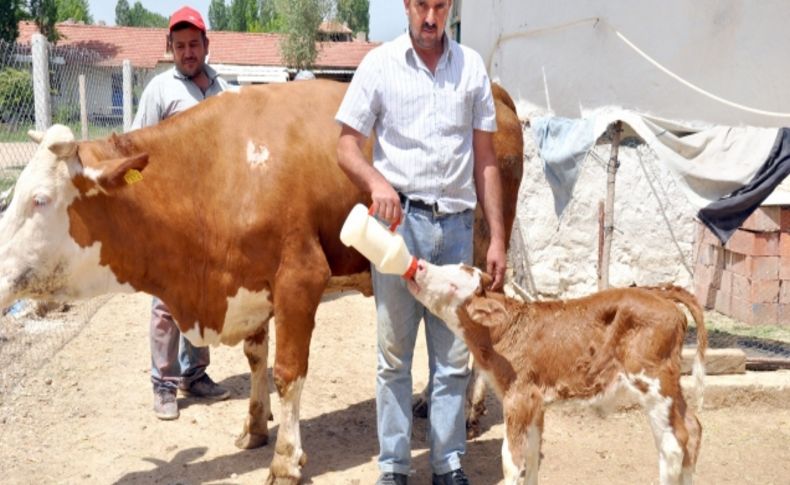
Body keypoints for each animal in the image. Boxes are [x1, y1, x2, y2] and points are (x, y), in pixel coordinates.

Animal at [0, 77, 524, 482]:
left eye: (41, 199)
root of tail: (497, 90)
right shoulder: (251, 284)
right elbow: (257, 359)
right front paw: (254, 428)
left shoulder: (300, 278)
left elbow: (288, 372)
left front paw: (286, 461)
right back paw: (427, 402)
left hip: (481, 251)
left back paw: (470, 412)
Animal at [408, 260, 712, 484]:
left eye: (453, 285)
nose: (420, 265)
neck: (499, 334)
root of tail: (658, 293)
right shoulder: (535, 401)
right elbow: (531, 455)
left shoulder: (519, 396)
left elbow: (511, 459)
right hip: (669, 381)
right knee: (693, 428)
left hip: (652, 379)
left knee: (673, 444)